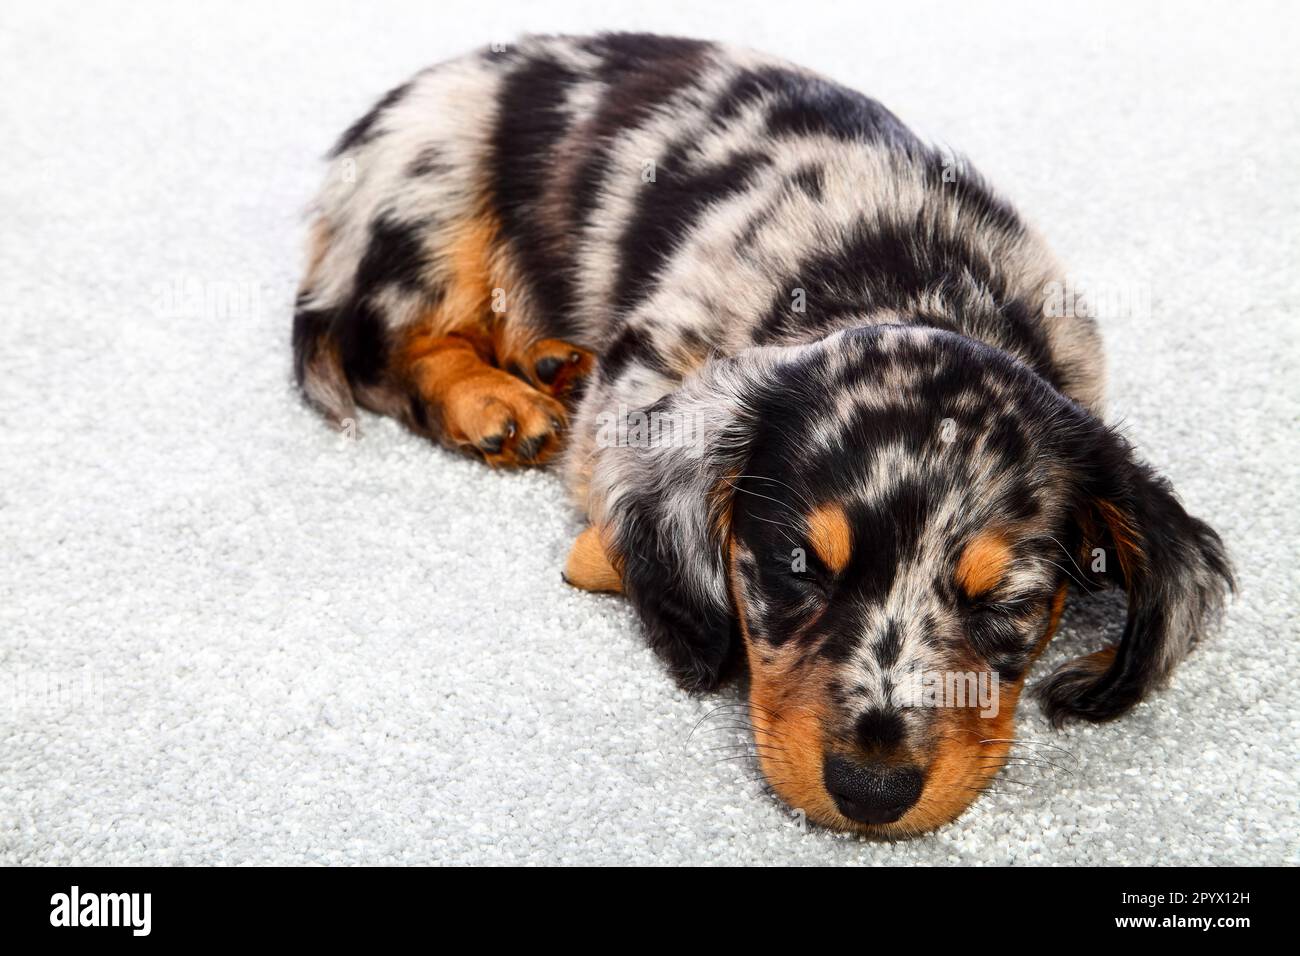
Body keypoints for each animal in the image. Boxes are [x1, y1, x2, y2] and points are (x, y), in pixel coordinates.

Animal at [289, 33, 1232, 832]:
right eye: (797, 567)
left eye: (1006, 604)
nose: (871, 793)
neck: (911, 277)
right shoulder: (648, 369)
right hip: (433, 196)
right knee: (389, 344)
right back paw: (496, 403)